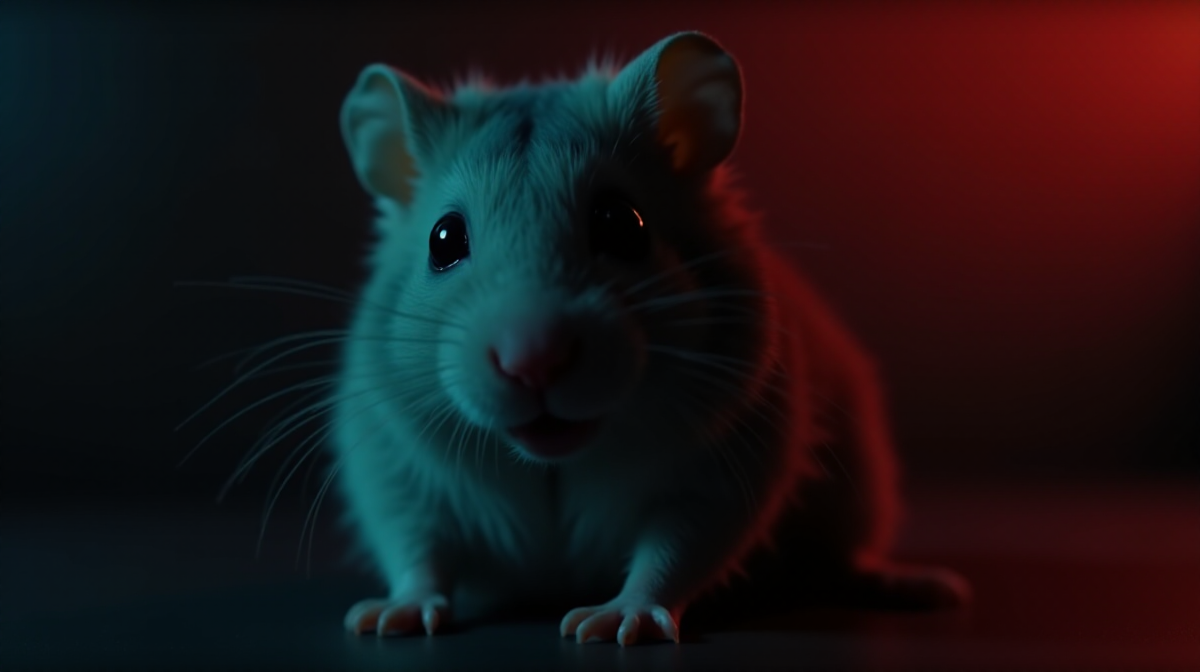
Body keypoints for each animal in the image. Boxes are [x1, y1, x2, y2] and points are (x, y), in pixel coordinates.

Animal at [332, 31, 969, 646]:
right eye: (443, 239)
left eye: (621, 222)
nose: (533, 363)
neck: (556, 458)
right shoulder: (393, 471)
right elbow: (418, 553)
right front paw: (383, 619)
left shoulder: (719, 473)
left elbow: (670, 553)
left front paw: (608, 625)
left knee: (847, 557)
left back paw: (925, 585)